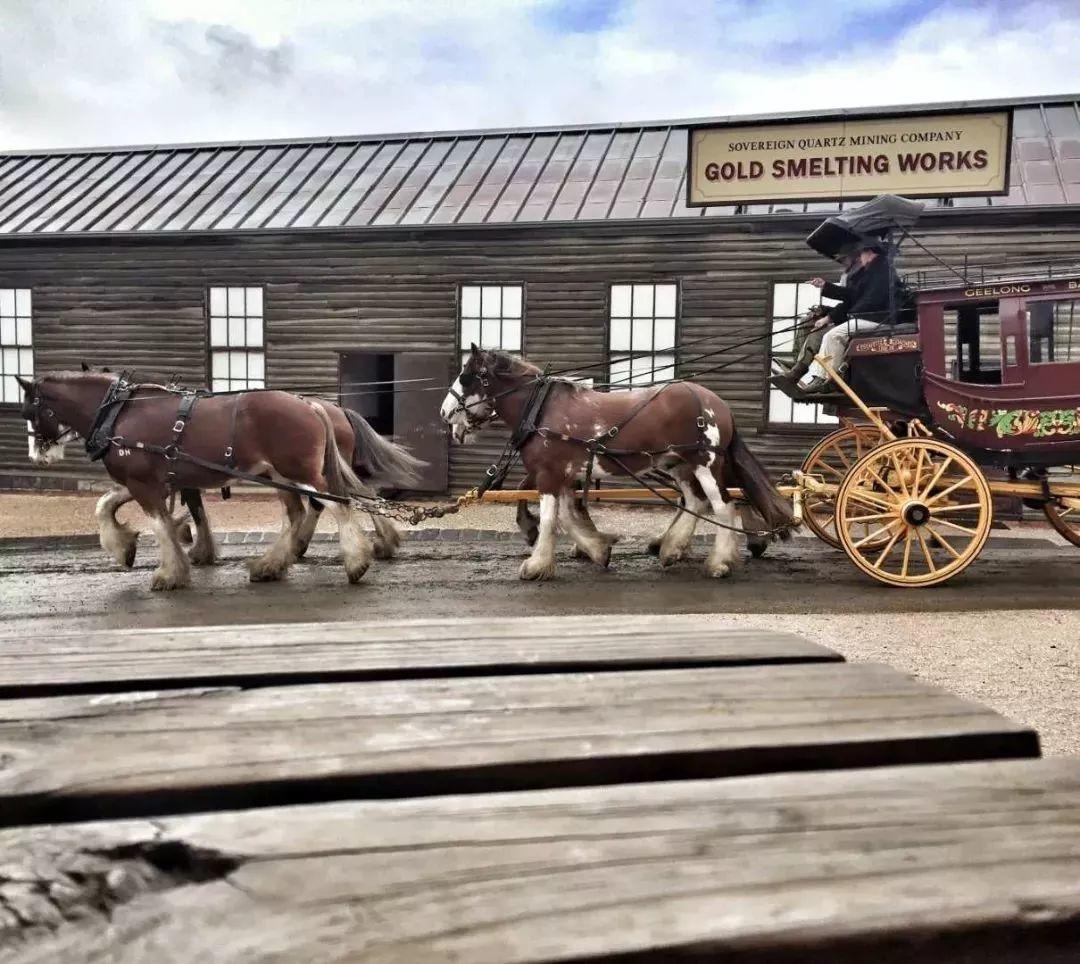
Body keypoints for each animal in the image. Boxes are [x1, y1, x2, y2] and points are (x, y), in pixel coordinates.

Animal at [17, 373, 421, 587]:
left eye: (30, 411)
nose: (38, 455)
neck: (118, 415)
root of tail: (312, 405)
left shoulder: (145, 484)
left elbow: (160, 525)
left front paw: (170, 571)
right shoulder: (152, 480)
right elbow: (108, 505)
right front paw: (126, 546)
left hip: (300, 471)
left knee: (339, 504)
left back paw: (356, 562)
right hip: (281, 475)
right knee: (304, 512)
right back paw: (273, 564)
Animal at [438, 345, 794, 578]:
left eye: (466, 376)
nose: (444, 412)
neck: (542, 410)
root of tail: (717, 403)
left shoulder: (549, 474)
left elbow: (552, 519)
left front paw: (536, 565)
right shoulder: (564, 475)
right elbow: (567, 517)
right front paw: (598, 550)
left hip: (705, 463)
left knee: (723, 507)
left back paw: (719, 562)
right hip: (677, 464)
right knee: (695, 502)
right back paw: (671, 549)